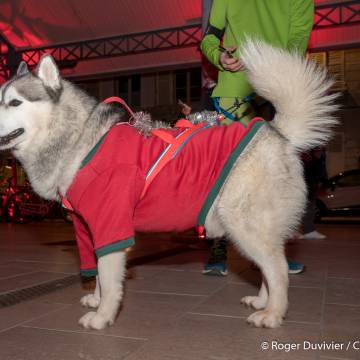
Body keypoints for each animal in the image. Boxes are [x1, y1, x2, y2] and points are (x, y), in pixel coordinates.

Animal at [0, 40, 336, 330]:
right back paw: (262, 302)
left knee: (278, 270)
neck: (81, 139)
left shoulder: (112, 227)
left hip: (247, 226)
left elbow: (108, 279)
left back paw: (273, 314)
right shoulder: (88, 228)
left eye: (15, 102)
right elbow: (94, 270)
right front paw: (96, 299)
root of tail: (278, 134)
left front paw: (103, 316)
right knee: (268, 269)